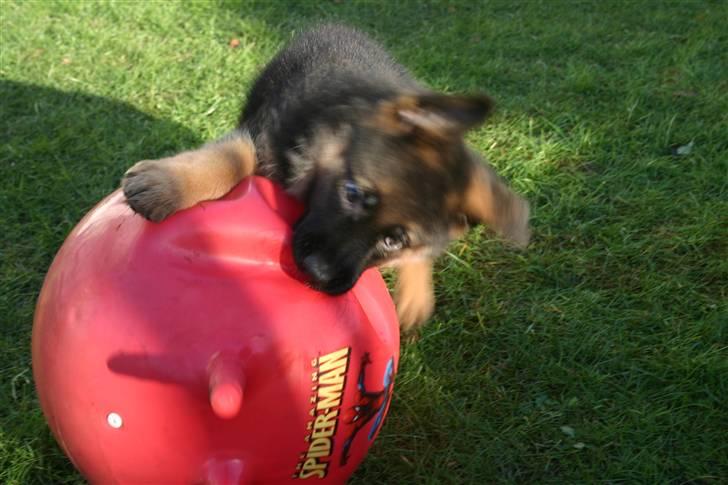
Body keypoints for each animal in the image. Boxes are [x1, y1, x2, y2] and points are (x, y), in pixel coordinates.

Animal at [121, 24, 528, 330]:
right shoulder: (263, 136)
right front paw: (167, 184)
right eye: (353, 193)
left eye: (394, 240)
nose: (316, 275)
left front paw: (416, 288)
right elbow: (229, 159)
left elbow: (421, 254)